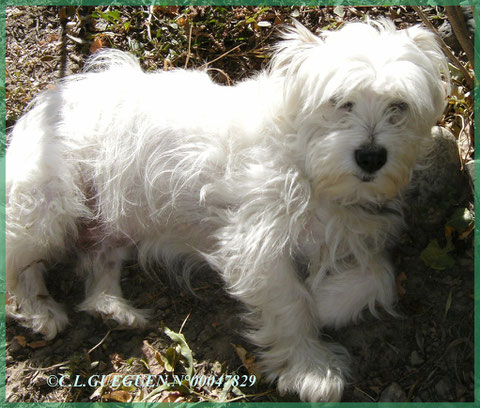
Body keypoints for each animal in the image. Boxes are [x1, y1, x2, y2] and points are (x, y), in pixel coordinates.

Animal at [4, 19, 446, 402]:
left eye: (399, 106)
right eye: (341, 102)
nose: (371, 157)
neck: (308, 165)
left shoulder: (357, 230)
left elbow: (380, 276)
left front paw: (326, 302)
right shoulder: (255, 244)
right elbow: (292, 304)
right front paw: (310, 369)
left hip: (113, 224)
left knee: (96, 262)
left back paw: (114, 309)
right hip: (49, 208)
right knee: (17, 264)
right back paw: (40, 310)